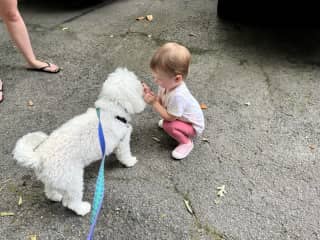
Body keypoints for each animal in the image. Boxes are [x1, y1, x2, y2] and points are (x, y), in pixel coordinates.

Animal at [13, 67, 146, 216]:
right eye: (136, 81)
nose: (143, 83)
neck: (112, 110)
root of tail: (40, 158)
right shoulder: (123, 142)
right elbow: (125, 154)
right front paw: (130, 162)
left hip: (54, 178)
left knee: (49, 190)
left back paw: (55, 196)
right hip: (73, 180)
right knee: (71, 202)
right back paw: (83, 208)